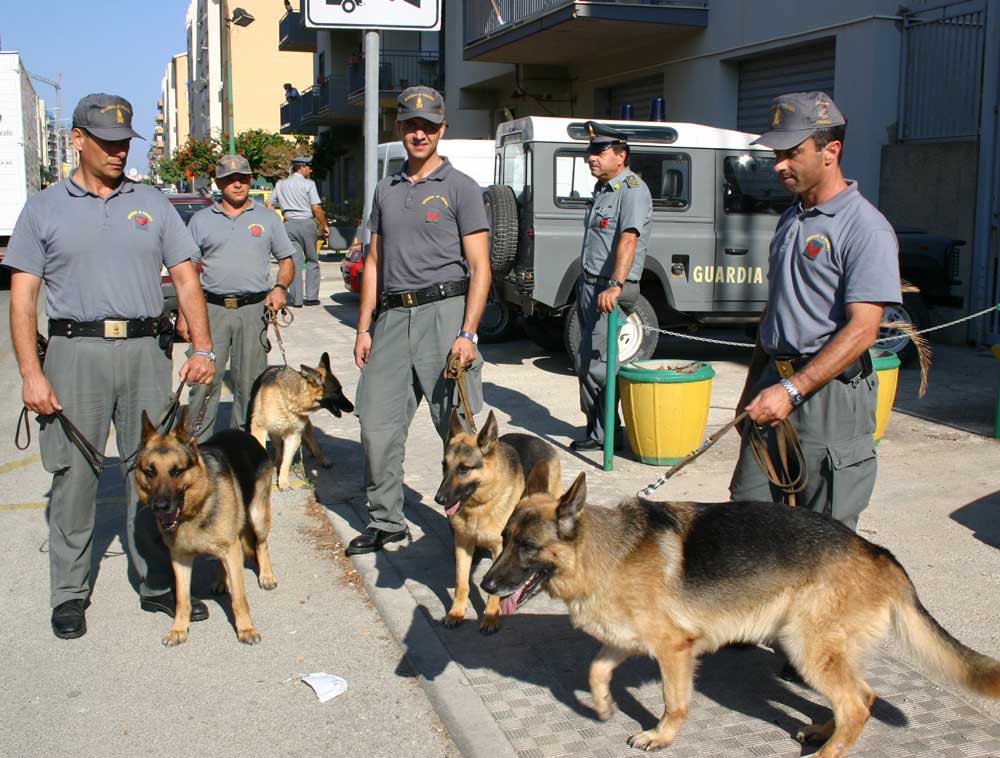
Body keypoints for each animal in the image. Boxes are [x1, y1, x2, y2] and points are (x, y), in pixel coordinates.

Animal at [137, 406, 278, 652]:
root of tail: (245, 435)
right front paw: (178, 630)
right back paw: (222, 581)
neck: (195, 508)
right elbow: (182, 599)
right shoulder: (180, 559)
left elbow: (239, 598)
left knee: (262, 544)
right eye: (150, 472)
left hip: (258, 517)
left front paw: (246, 630)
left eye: (176, 471)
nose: (160, 506)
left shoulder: (231, 551)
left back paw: (266, 575)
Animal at [247, 354, 354, 490]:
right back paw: (276, 461)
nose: (352, 407)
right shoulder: (259, 429)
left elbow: (287, 461)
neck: (290, 399)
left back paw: (323, 460)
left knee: (314, 444)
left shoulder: (294, 436)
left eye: (340, 389)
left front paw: (283, 482)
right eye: (336, 391)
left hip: (305, 429)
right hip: (274, 433)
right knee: (278, 449)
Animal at [434, 410, 564, 636]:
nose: (439, 499)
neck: (480, 505)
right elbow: (461, 582)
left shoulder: (500, 549)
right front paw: (456, 612)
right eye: (445, 466)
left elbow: (493, 590)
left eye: (464, 469)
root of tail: (541, 441)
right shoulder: (462, 545)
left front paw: (490, 617)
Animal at [480, 472, 996, 756]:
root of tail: (877, 551)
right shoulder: (626, 641)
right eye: (503, 540)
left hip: (807, 648)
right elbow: (595, 670)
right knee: (861, 698)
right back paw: (822, 731)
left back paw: (828, 753)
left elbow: (674, 702)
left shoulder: (674, 651)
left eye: (527, 547)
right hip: (817, 651)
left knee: (856, 705)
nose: (485, 586)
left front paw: (661, 737)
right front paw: (604, 706)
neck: (604, 552)